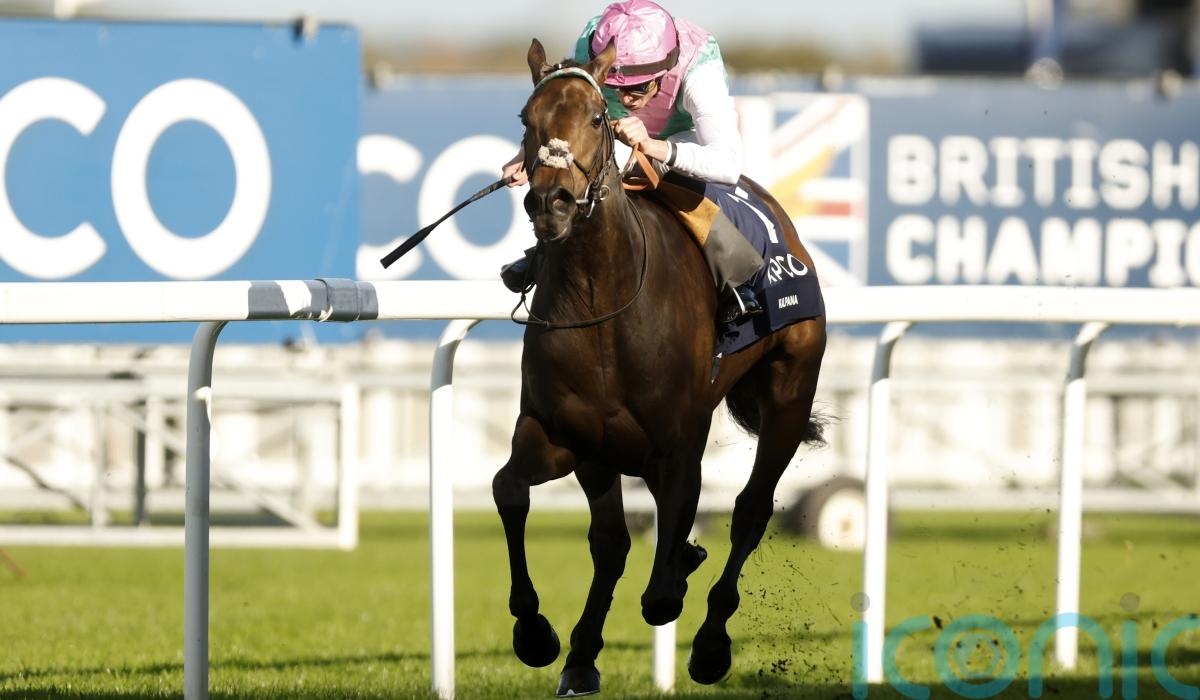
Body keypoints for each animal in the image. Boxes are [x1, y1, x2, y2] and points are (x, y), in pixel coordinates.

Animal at [491, 38, 827, 696]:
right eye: (525, 118)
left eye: (597, 118)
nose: (550, 201)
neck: (603, 305)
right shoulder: (564, 436)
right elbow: (511, 491)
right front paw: (538, 633)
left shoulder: (677, 445)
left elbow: (662, 593)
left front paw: (682, 577)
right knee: (612, 542)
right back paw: (582, 654)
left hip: (789, 393)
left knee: (750, 512)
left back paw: (711, 642)